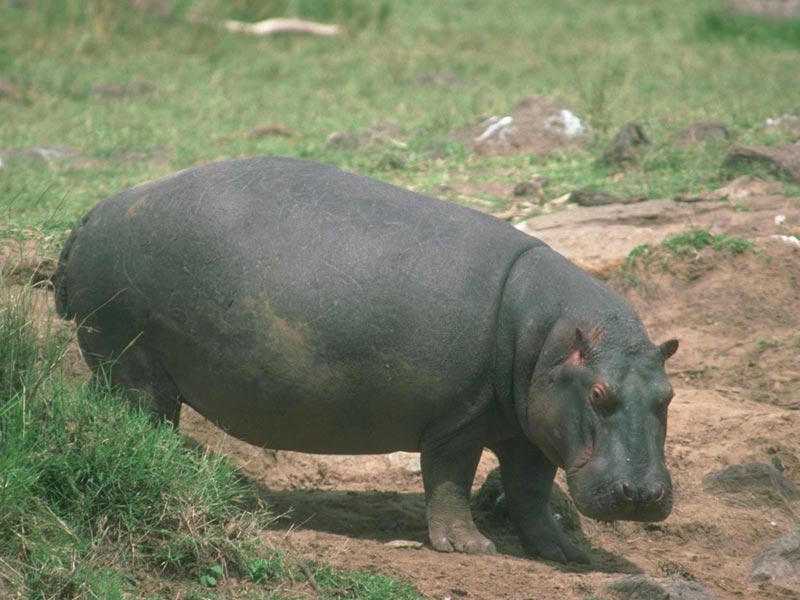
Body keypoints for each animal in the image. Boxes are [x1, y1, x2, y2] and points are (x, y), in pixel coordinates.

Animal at [53, 157, 678, 563]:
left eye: (669, 396)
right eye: (598, 394)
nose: (644, 496)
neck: (549, 338)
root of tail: (92, 212)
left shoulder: (529, 432)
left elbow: (531, 497)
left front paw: (567, 554)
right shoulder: (459, 420)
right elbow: (449, 481)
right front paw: (470, 548)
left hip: (115, 364)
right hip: (134, 364)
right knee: (143, 423)